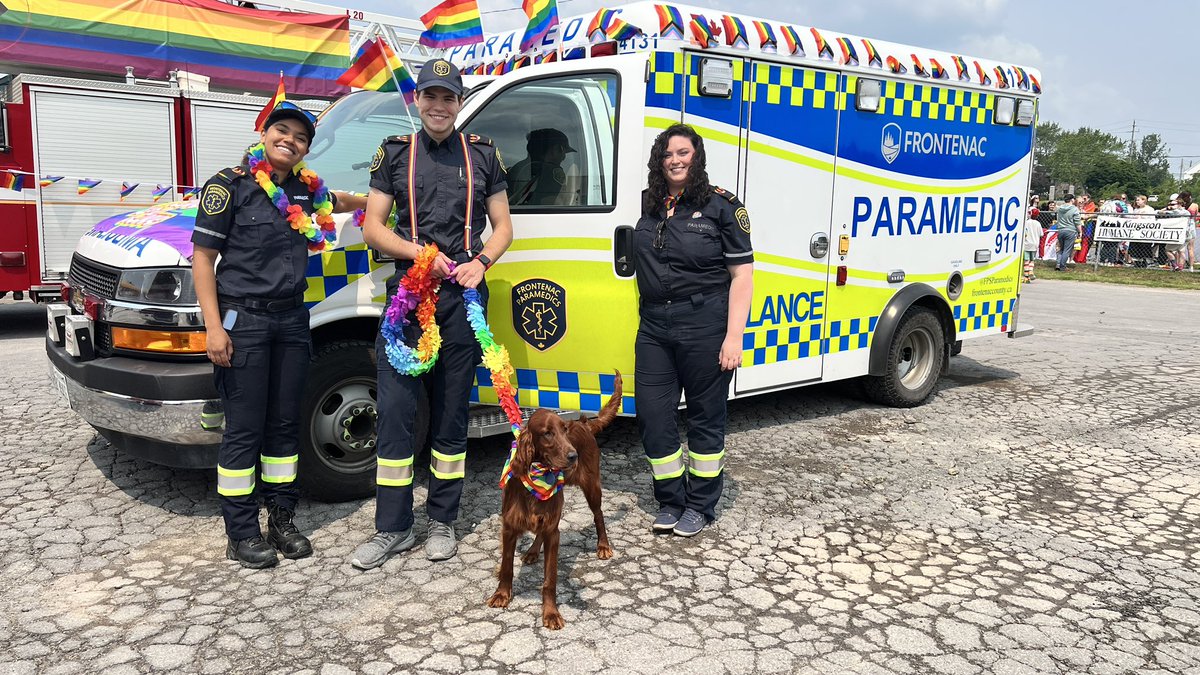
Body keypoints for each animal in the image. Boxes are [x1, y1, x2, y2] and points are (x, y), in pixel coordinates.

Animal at [484, 367, 624, 624]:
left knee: (598, 515)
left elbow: (550, 578)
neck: (536, 477)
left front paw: (550, 613)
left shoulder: (554, 533)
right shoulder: (509, 527)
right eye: (547, 433)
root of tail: (583, 424)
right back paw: (532, 551)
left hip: (592, 487)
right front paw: (501, 594)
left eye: (564, 430)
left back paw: (603, 546)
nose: (573, 455)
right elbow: (506, 565)